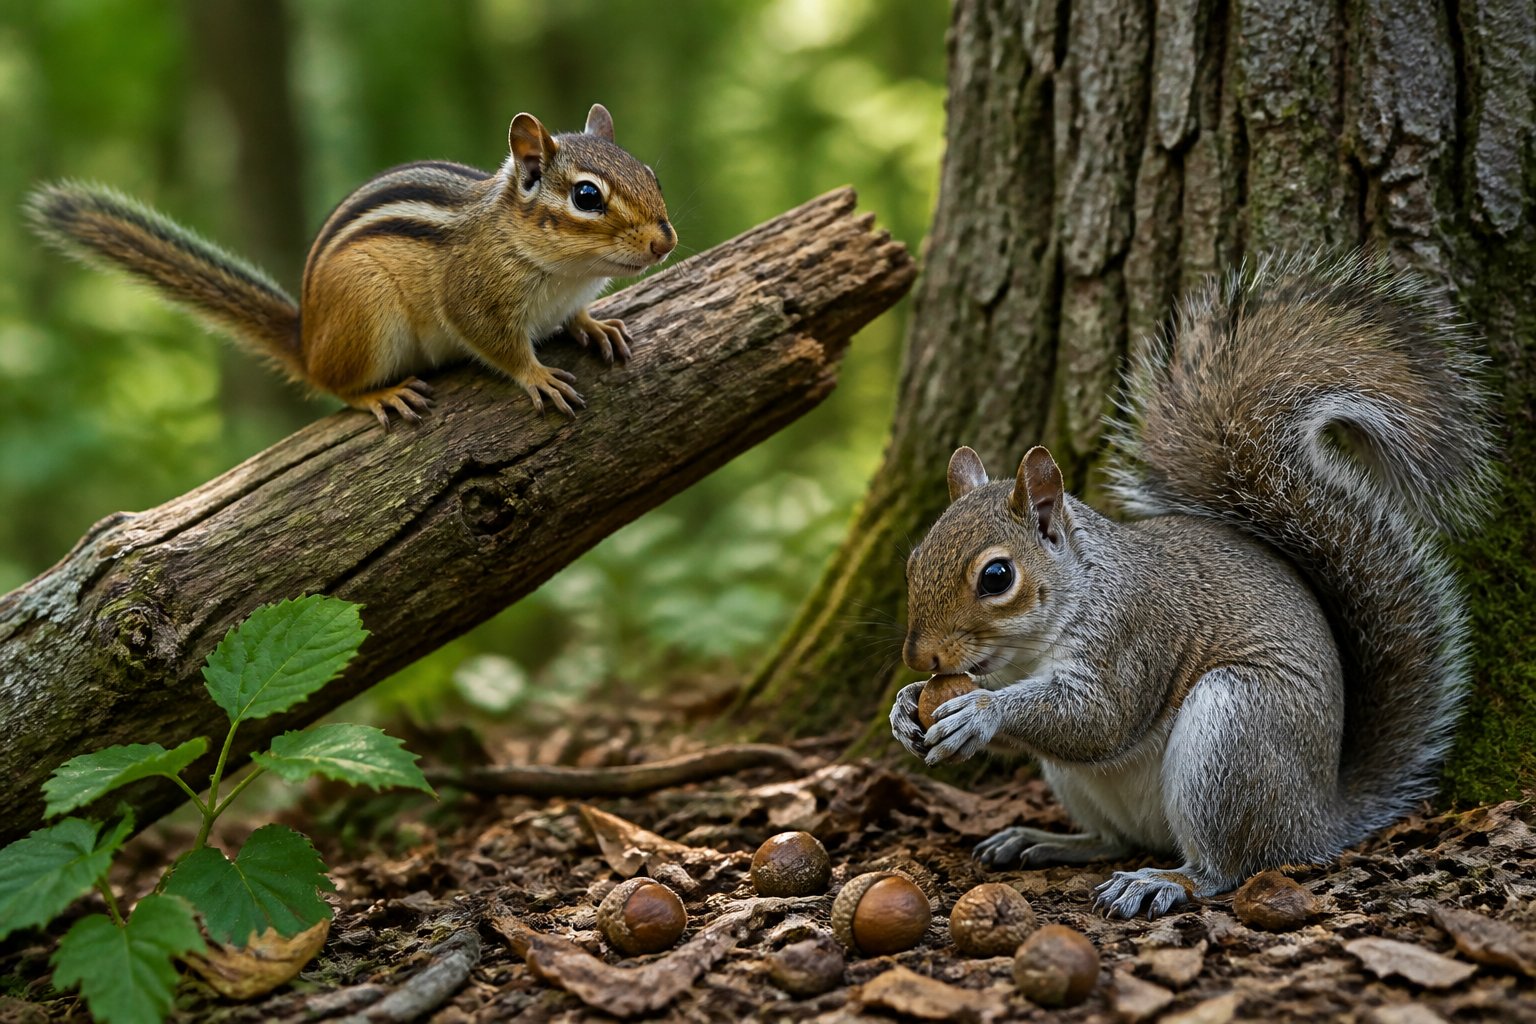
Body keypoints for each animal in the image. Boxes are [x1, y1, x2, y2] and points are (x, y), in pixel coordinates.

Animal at [25, 103, 675, 427]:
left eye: (652, 175)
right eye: (586, 196)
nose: (664, 244)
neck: (564, 273)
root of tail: (307, 339)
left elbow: (578, 316)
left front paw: (596, 326)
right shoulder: (472, 296)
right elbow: (496, 343)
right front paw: (536, 375)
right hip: (367, 315)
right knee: (336, 386)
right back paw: (379, 397)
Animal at [890, 251, 1496, 919]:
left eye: (997, 577)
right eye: (914, 560)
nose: (918, 656)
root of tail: (1318, 817)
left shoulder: (1134, 634)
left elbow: (1100, 717)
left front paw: (980, 712)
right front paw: (906, 707)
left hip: (1234, 734)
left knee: (1229, 865)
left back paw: (1163, 880)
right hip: (1090, 782)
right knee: (1114, 839)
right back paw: (1048, 840)